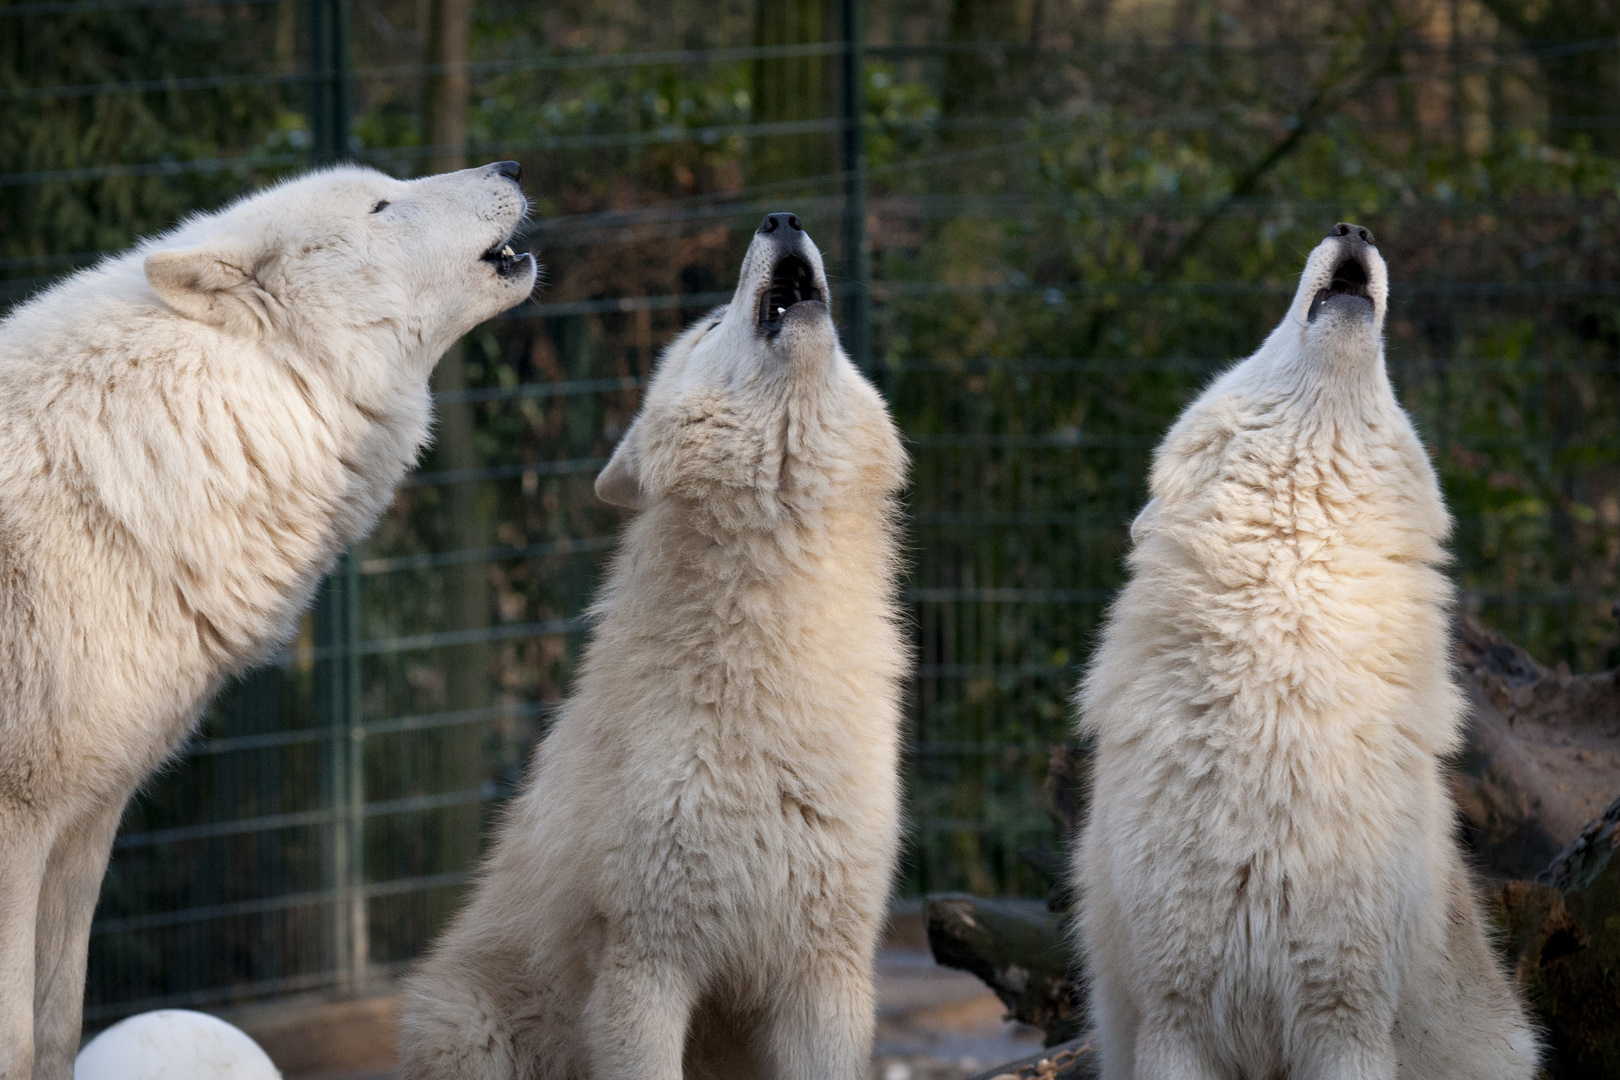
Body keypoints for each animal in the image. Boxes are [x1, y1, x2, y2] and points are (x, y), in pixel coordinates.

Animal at [0, 160, 537, 1080]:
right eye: (383, 204)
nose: (510, 167)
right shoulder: (20, 826)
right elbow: (13, 1036)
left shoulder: (82, 823)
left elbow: (54, 1030)